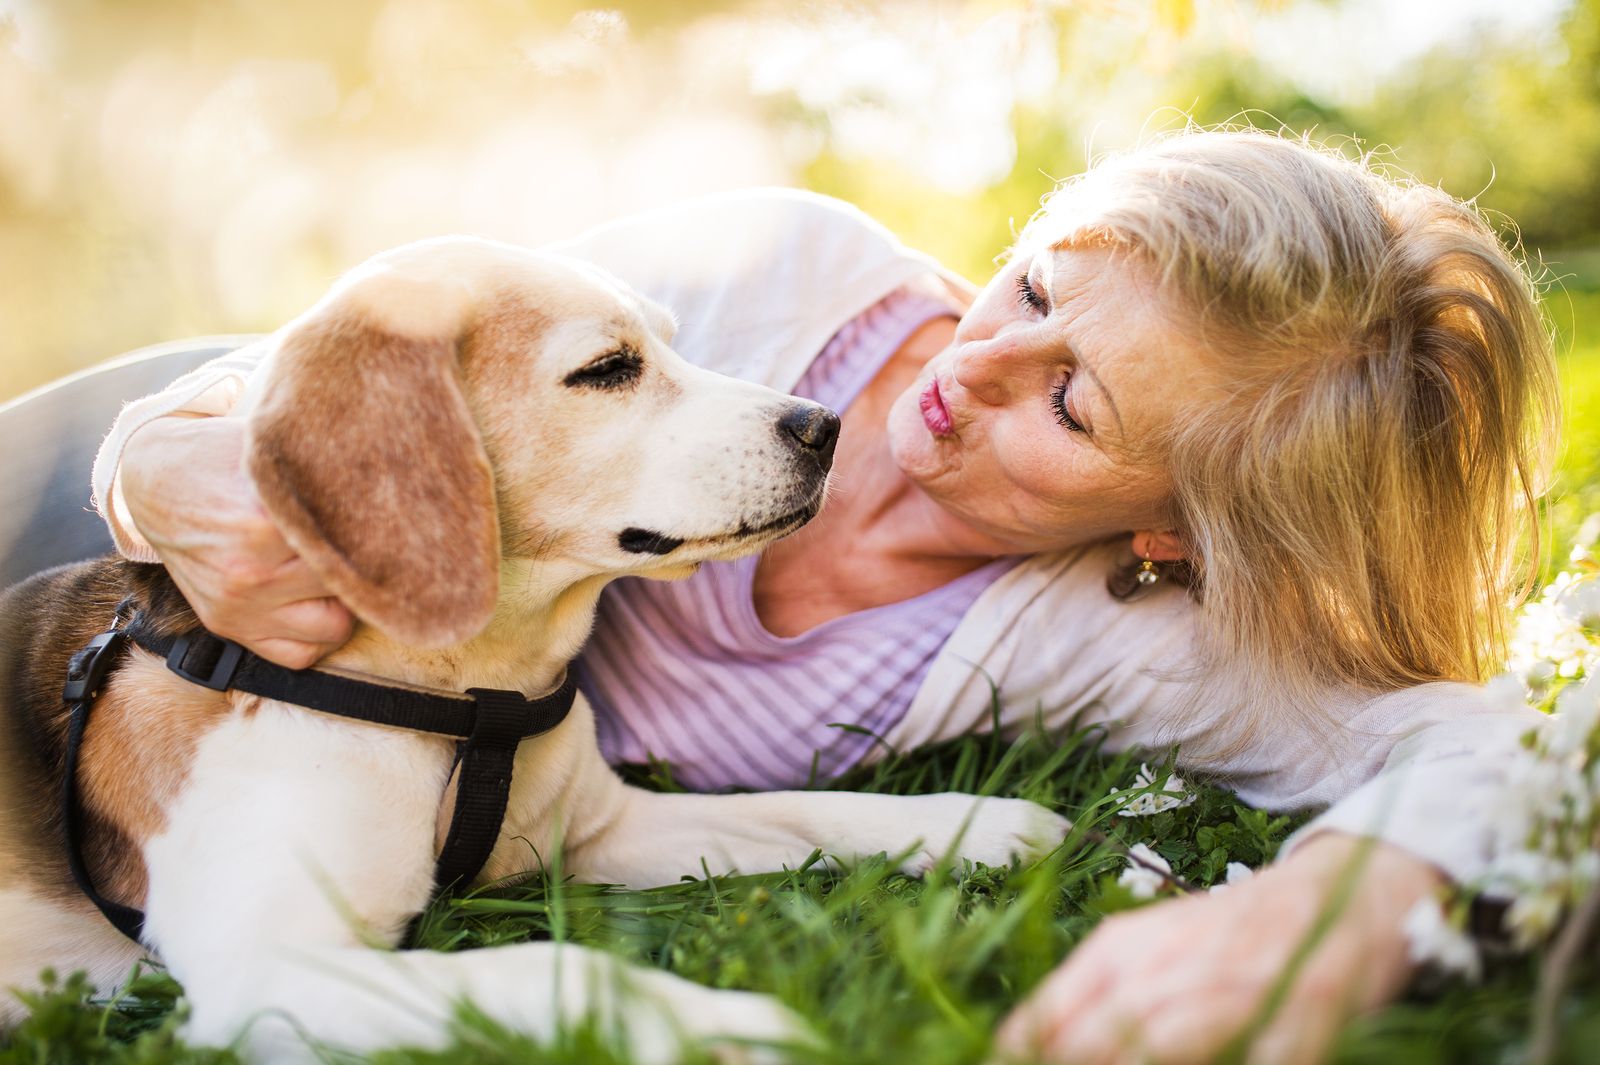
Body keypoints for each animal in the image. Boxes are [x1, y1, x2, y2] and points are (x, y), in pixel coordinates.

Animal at [3, 239, 1075, 1061]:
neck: (466, 697)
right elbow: (566, 967)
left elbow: (812, 809)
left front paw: (984, 823)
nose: (825, 425)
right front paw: (724, 1028)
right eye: (607, 368)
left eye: (674, 343)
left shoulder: (607, 831)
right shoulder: (272, 967)